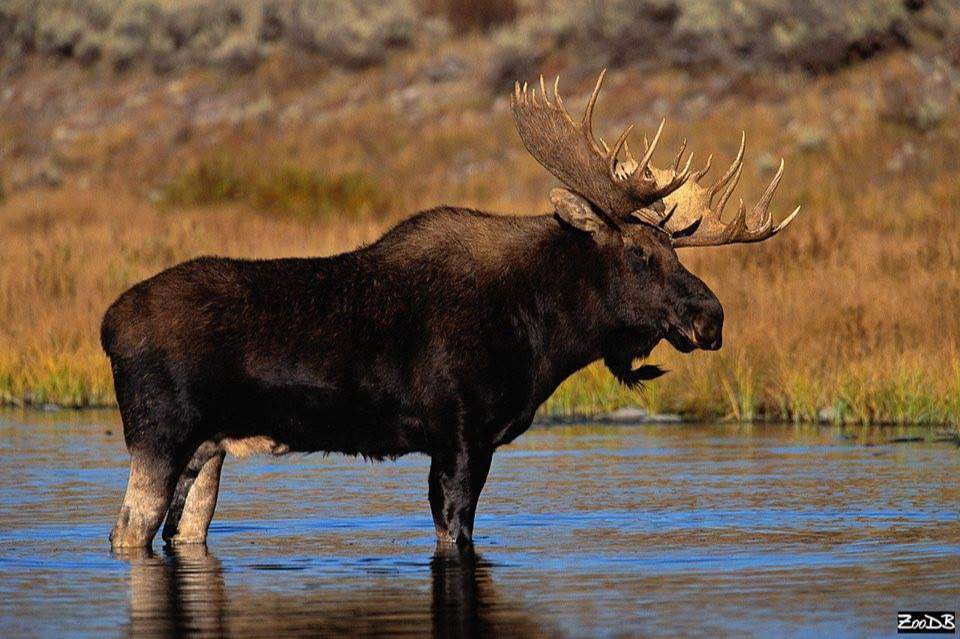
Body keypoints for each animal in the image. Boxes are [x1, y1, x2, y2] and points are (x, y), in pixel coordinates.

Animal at [105, 71, 800, 552]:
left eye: (672, 248)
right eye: (638, 251)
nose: (711, 317)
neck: (543, 334)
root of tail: (108, 324)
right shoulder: (462, 434)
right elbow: (454, 529)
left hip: (209, 450)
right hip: (160, 433)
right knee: (128, 530)